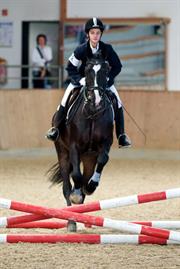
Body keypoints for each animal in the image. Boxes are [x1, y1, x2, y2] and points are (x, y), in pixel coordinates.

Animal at [48, 52, 114, 230]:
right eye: (87, 71)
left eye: (106, 70)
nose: (95, 100)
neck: (92, 113)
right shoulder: (73, 147)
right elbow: (76, 175)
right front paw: (76, 194)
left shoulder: (105, 144)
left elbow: (103, 160)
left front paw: (91, 186)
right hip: (62, 152)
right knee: (67, 185)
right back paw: (71, 221)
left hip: (89, 158)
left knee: (86, 176)